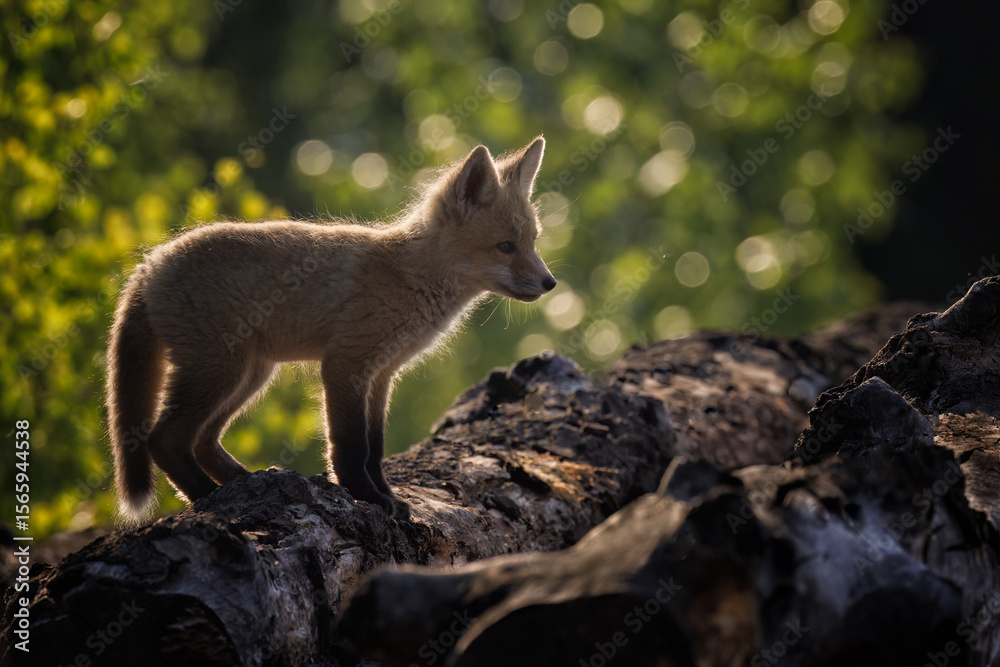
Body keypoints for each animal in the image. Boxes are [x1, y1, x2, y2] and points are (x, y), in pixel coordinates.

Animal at [107, 137, 556, 522]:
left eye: (533, 242)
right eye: (505, 247)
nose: (550, 283)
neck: (409, 277)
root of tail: (148, 266)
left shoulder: (382, 374)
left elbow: (374, 448)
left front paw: (387, 496)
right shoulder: (346, 364)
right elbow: (351, 445)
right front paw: (365, 496)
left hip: (249, 375)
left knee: (201, 441)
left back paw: (244, 482)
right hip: (219, 371)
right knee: (164, 439)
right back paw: (207, 497)